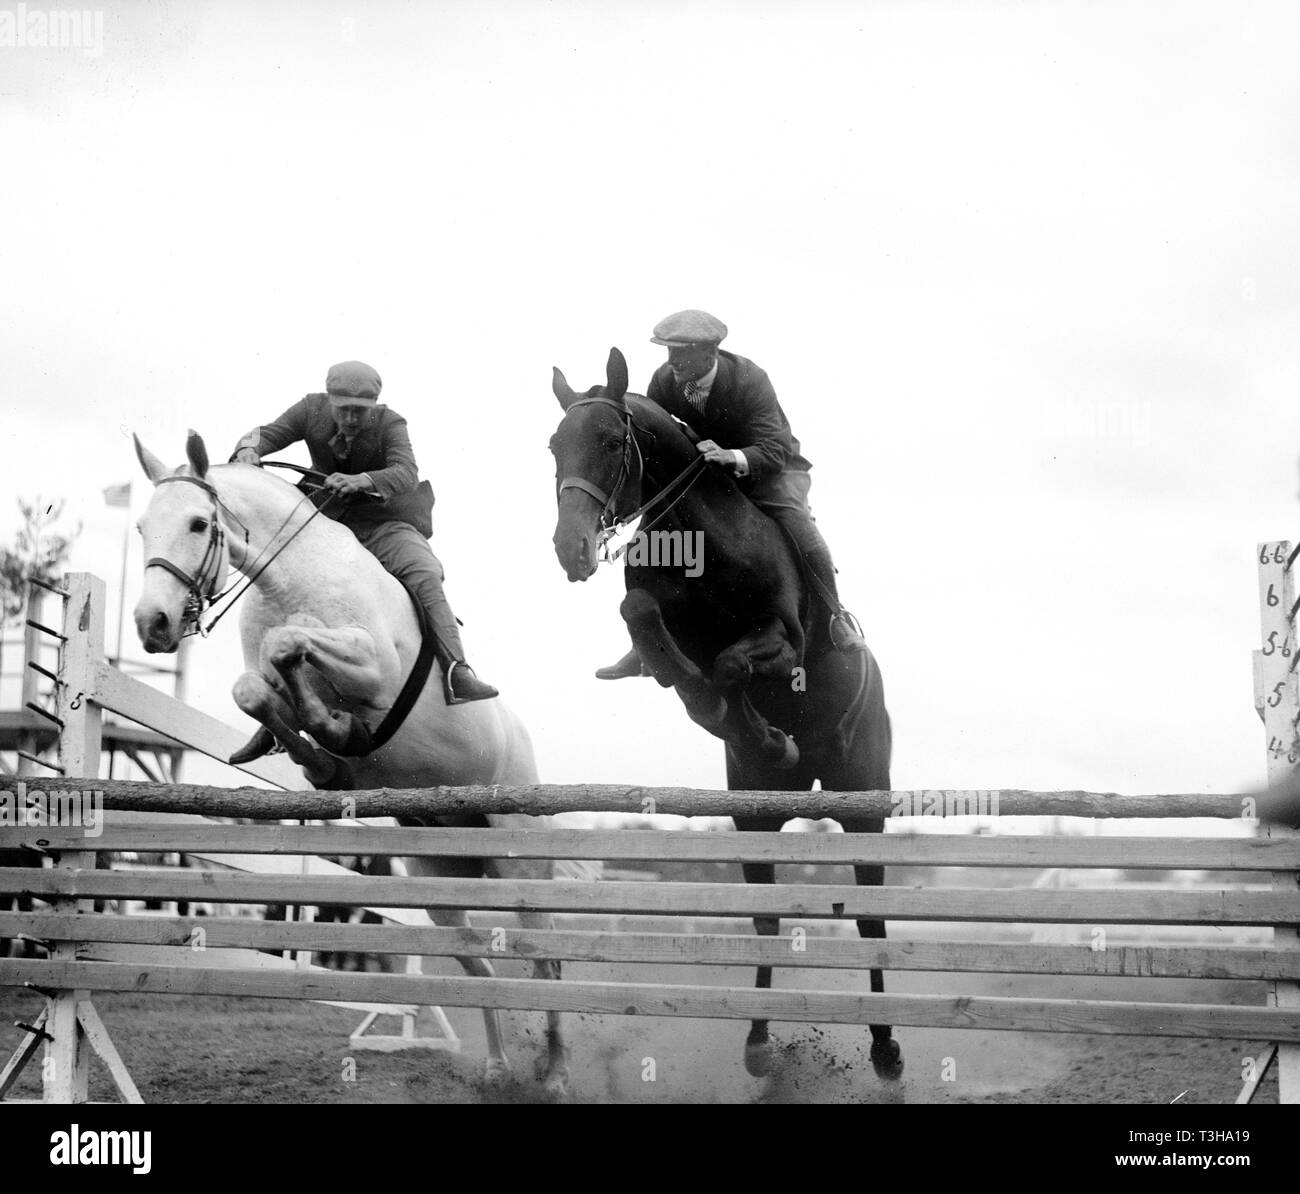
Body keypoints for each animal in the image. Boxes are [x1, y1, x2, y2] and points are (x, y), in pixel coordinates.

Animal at [131, 431, 572, 1096]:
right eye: (140, 527)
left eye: (198, 522)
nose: (150, 623)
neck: (288, 579)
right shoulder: (271, 679)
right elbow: (258, 688)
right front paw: (327, 757)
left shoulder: (371, 667)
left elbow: (289, 644)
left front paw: (341, 729)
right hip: (441, 879)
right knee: (478, 962)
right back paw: (499, 1068)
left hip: (521, 861)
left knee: (545, 957)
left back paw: (557, 1071)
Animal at [549, 348, 902, 1081]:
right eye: (552, 445)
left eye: (610, 441)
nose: (571, 549)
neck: (701, 539)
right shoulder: (658, 614)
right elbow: (646, 620)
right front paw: (727, 713)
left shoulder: (783, 637)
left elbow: (733, 666)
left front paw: (753, 722)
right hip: (755, 814)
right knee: (765, 918)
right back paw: (759, 1042)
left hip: (864, 803)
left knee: (871, 919)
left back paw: (886, 1049)